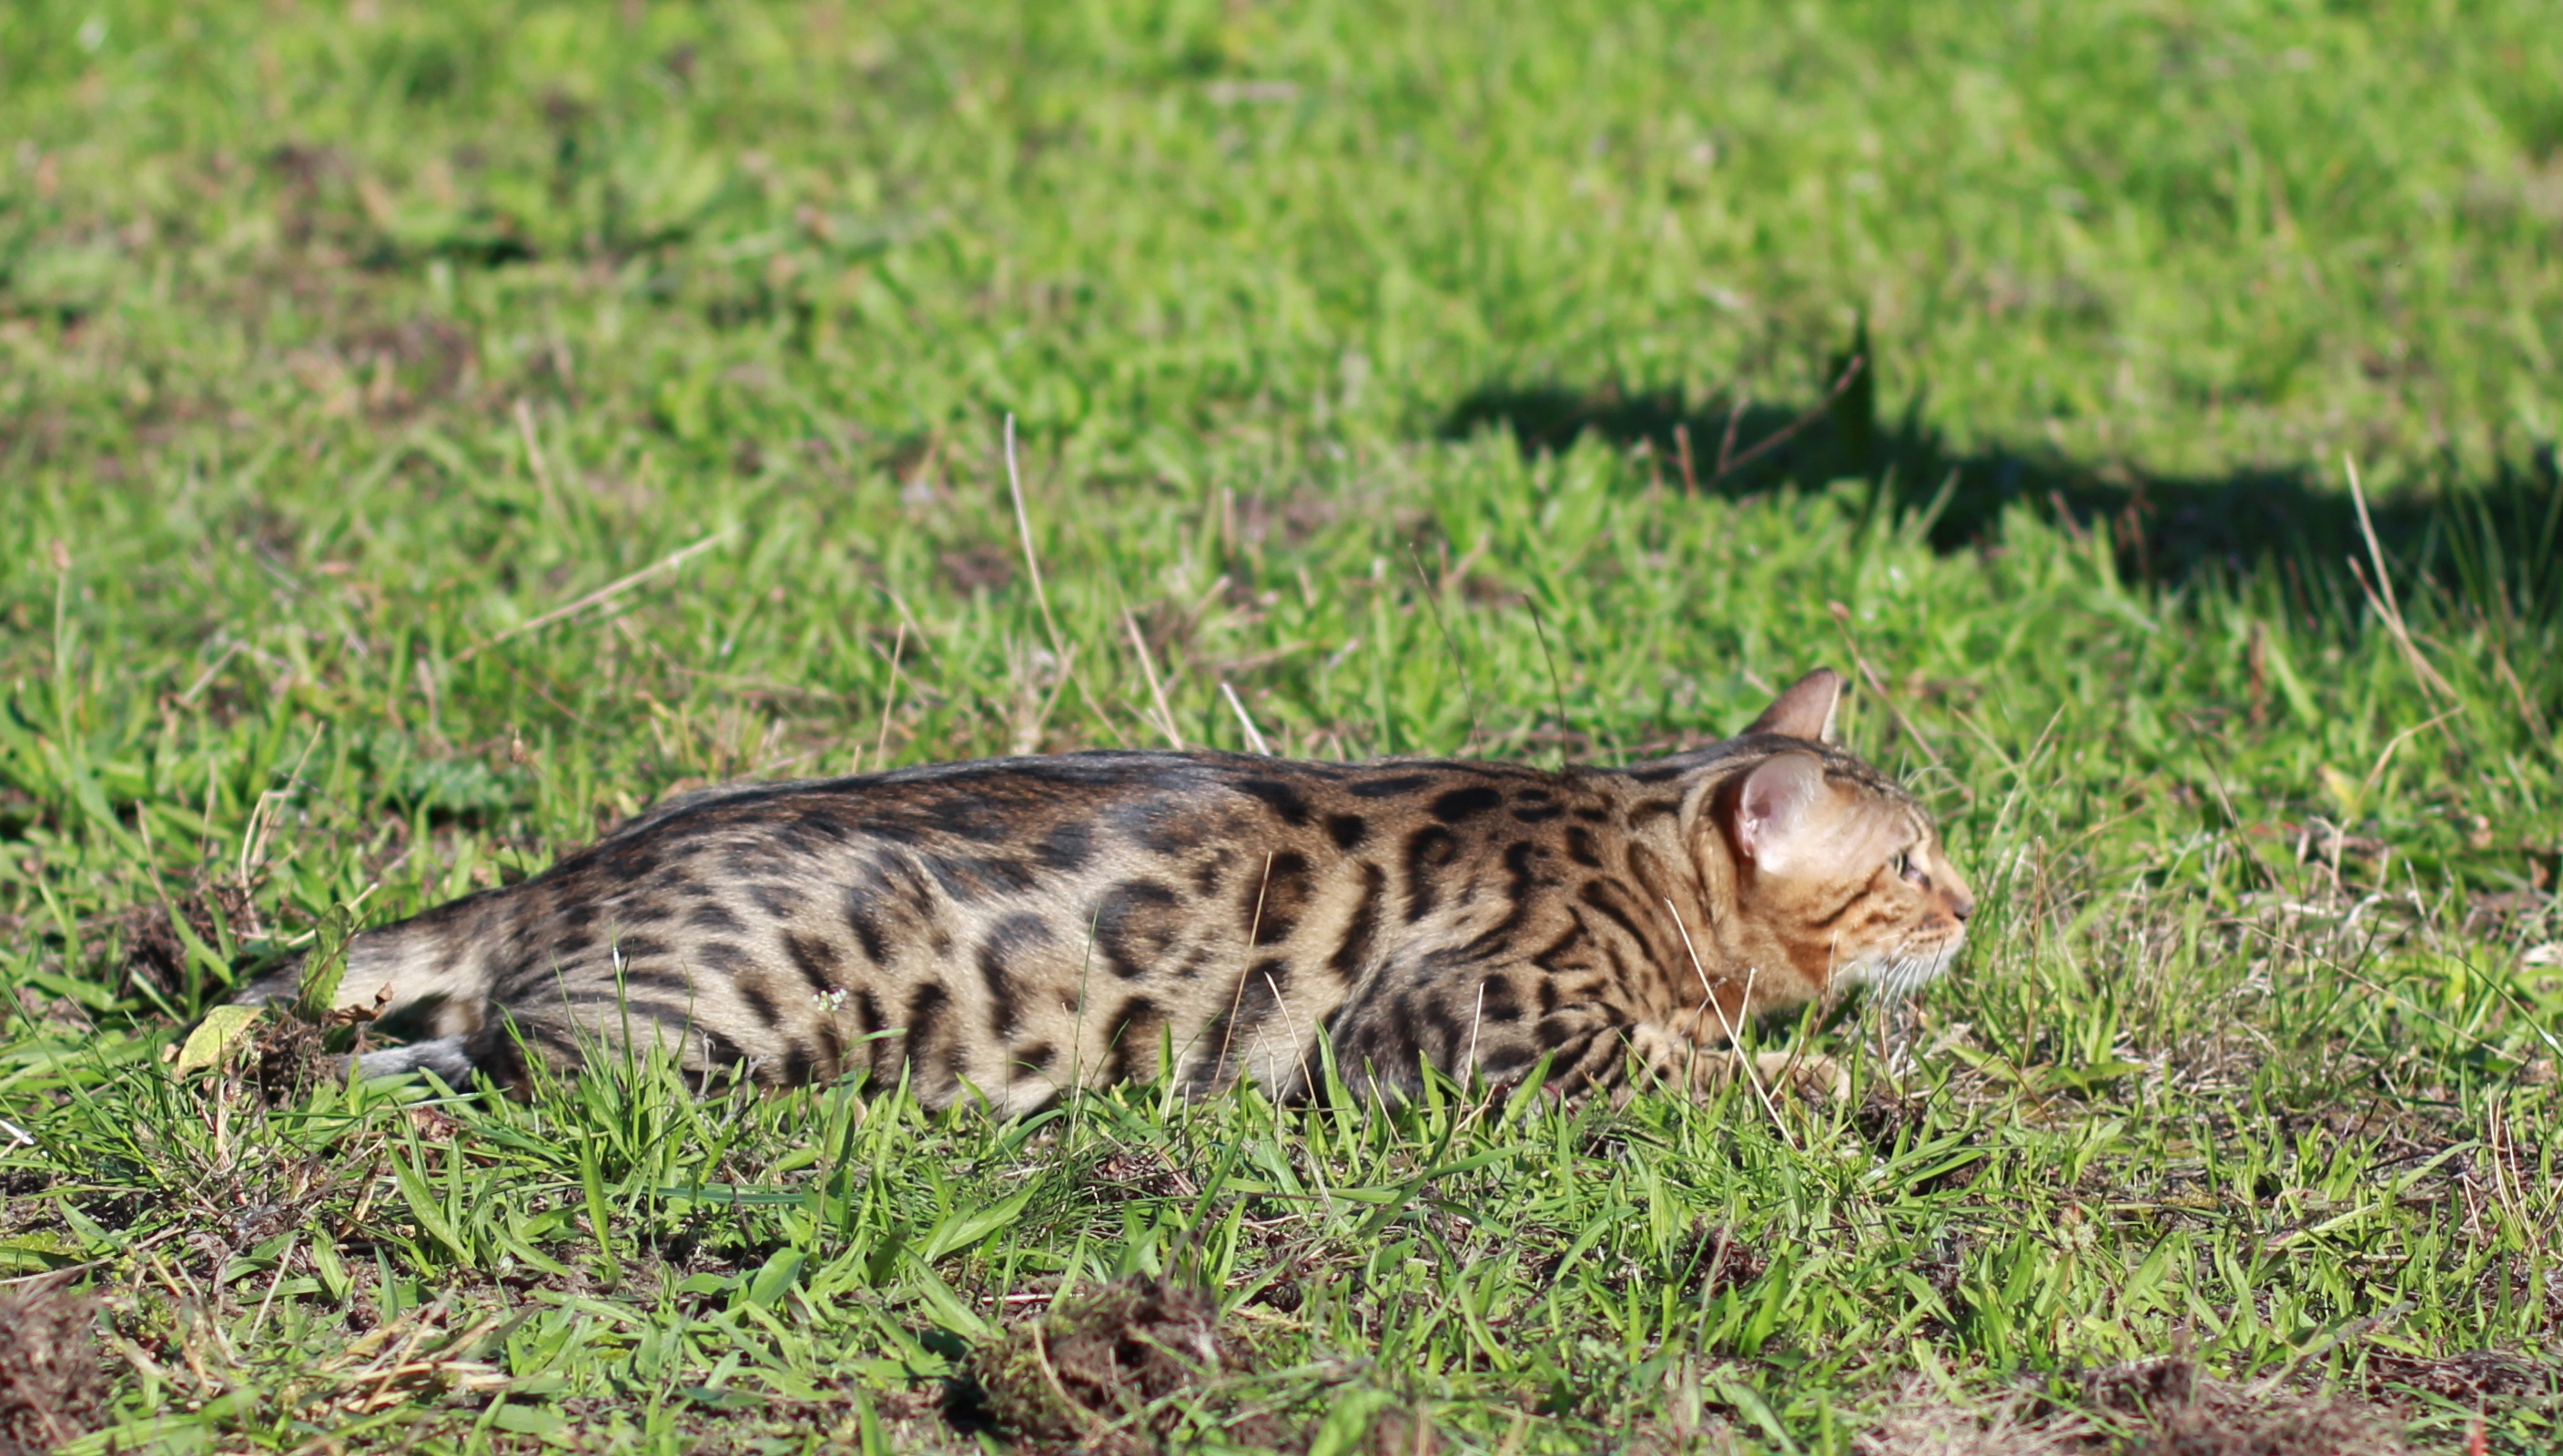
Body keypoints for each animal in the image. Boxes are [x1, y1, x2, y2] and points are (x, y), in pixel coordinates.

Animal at [240, 666, 1968, 1102]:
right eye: (1904, 865)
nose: (1973, 910)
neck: (1630, 839)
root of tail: (551, 877)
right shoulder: (1463, 1028)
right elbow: (1698, 1055)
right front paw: (1827, 1083)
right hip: (738, 1022)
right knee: (512, 1052)